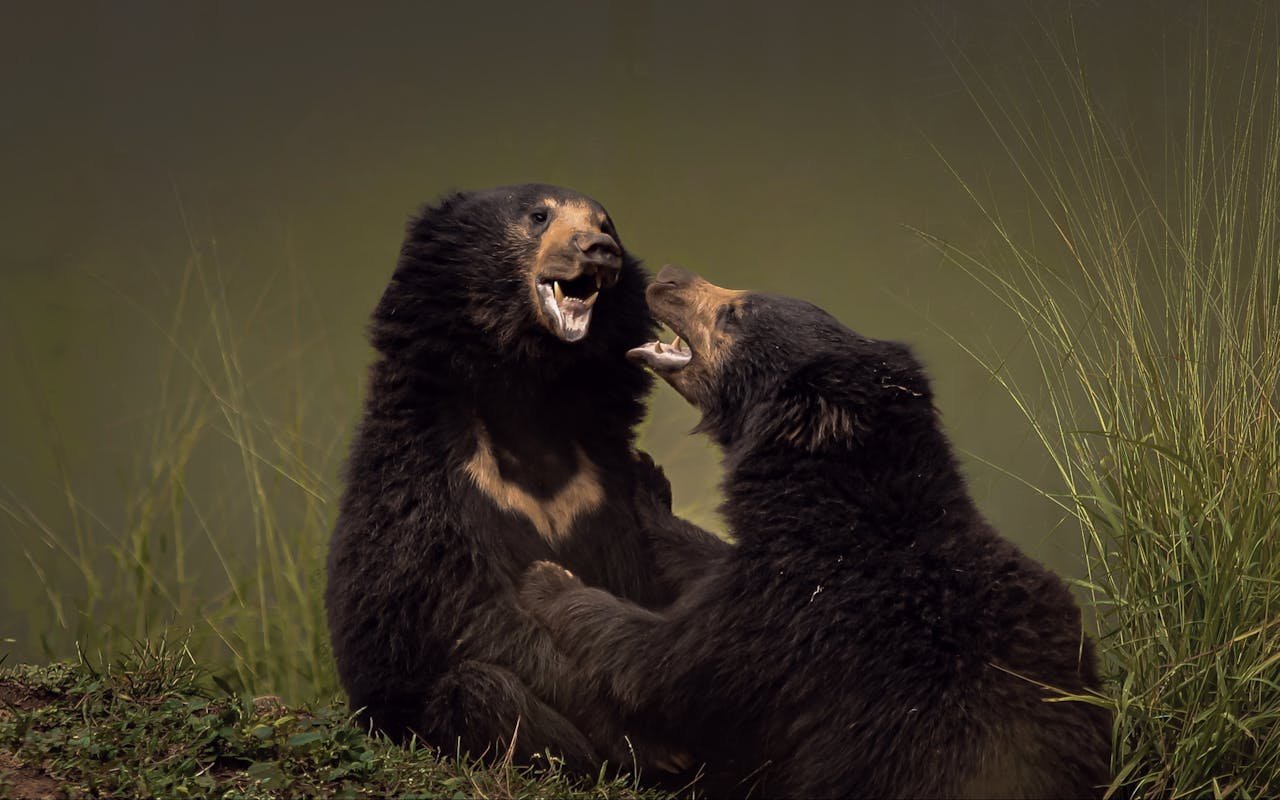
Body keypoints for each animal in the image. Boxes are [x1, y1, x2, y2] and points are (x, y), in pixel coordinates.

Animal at [324, 187, 728, 775]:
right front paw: (654, 742)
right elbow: (468, 610)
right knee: (480, 692)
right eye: (539, 216)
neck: (531, 394)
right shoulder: (433, 480)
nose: (599, 249)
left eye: (606, 223)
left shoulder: (602, 482)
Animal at [518, 265, 1114, 798]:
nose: (665, 276)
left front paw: (550, 579)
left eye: (737, 313)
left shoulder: (797, 616)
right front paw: (647, 484)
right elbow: (704, 562)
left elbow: (664, 662)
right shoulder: (772, 568)